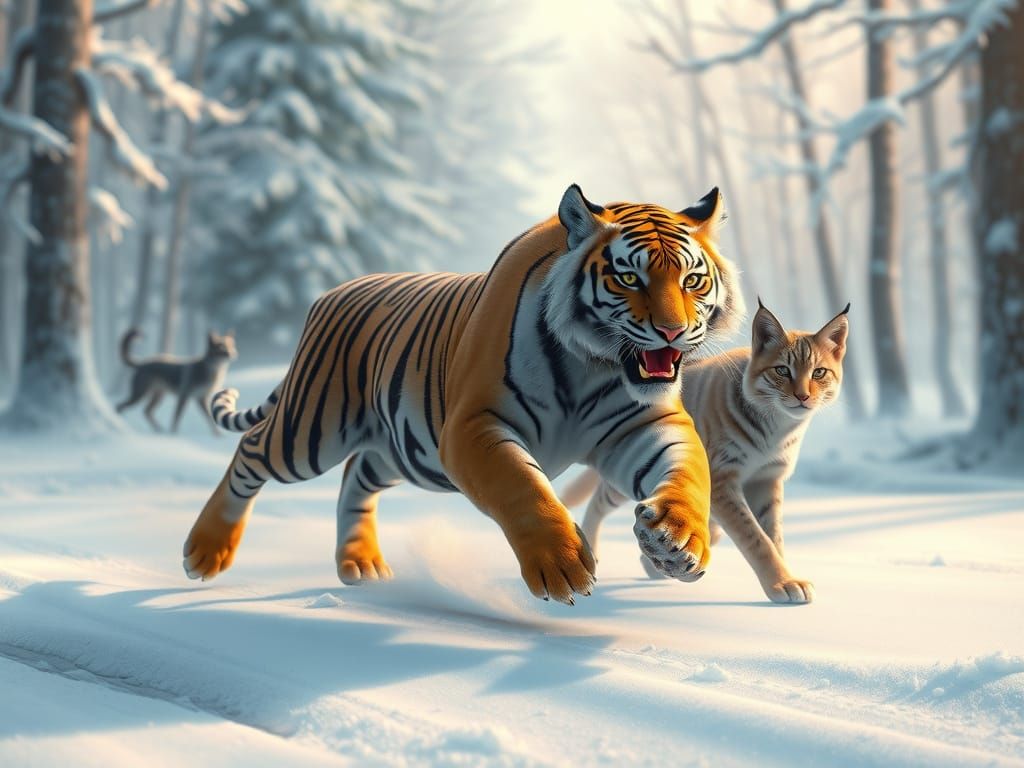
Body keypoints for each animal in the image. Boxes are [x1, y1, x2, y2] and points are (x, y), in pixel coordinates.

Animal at [183, 184, 744, 604]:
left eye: (692, 281)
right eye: (629, 277)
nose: (673, 331)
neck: (594, 365)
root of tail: (333, 292)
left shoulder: (647, 425)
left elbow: (688, 471)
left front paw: (679, 542)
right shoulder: (473, 426)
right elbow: (522, 487)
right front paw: (561, 565)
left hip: (399, 449)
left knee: (356, 476)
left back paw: (360, 564)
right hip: (313, 430)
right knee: (253, 449)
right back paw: (205, 551)